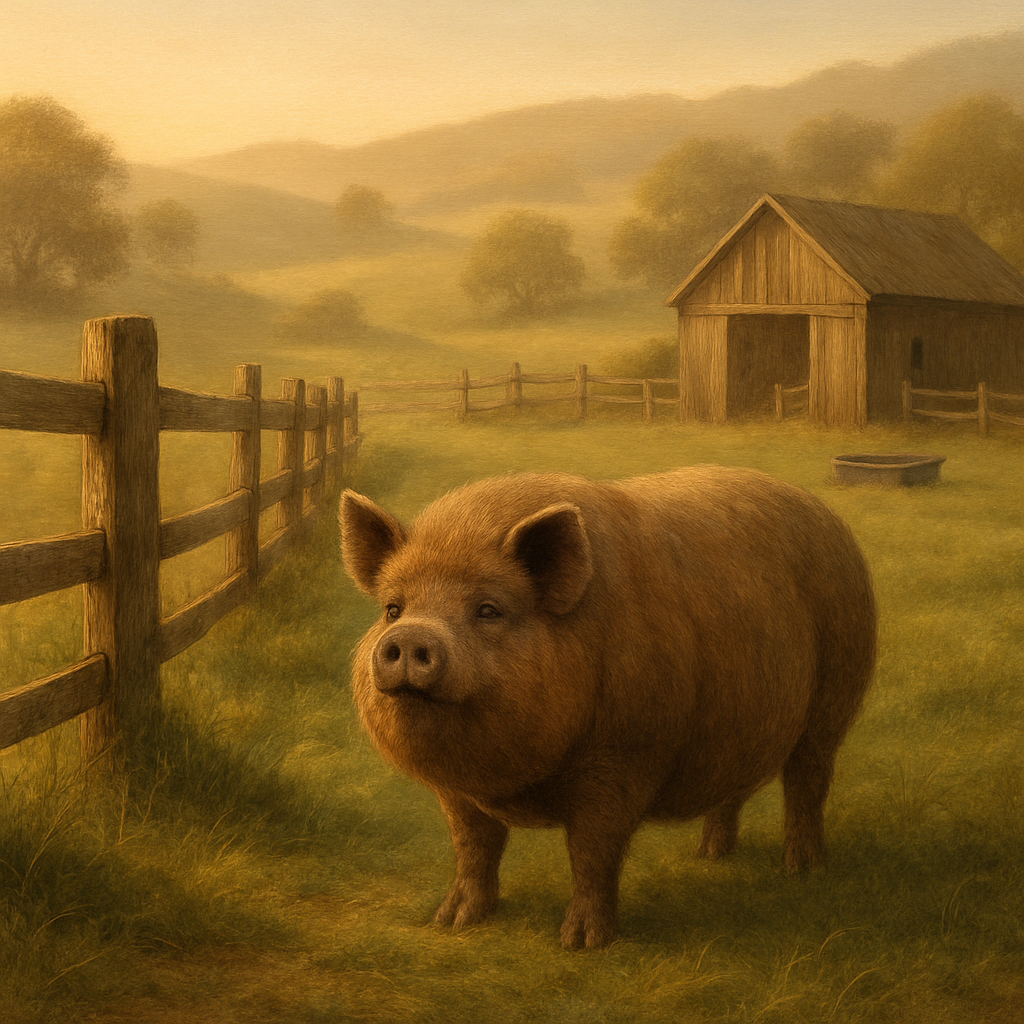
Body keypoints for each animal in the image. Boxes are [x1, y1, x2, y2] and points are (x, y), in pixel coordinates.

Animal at [339, 467, 876, 948]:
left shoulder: (625, 757)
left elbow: (592, 851)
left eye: (488, 609)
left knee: (807, 783)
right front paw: (450, 923)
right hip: (739, 721)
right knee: (732, 788)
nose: (412, 635)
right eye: (393, 609)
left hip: (837, 691)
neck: (510, 781)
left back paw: (802, 871)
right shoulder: (455, 791)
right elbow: (474, 847)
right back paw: (708, 857)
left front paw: (581, 944)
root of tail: (830, 519)